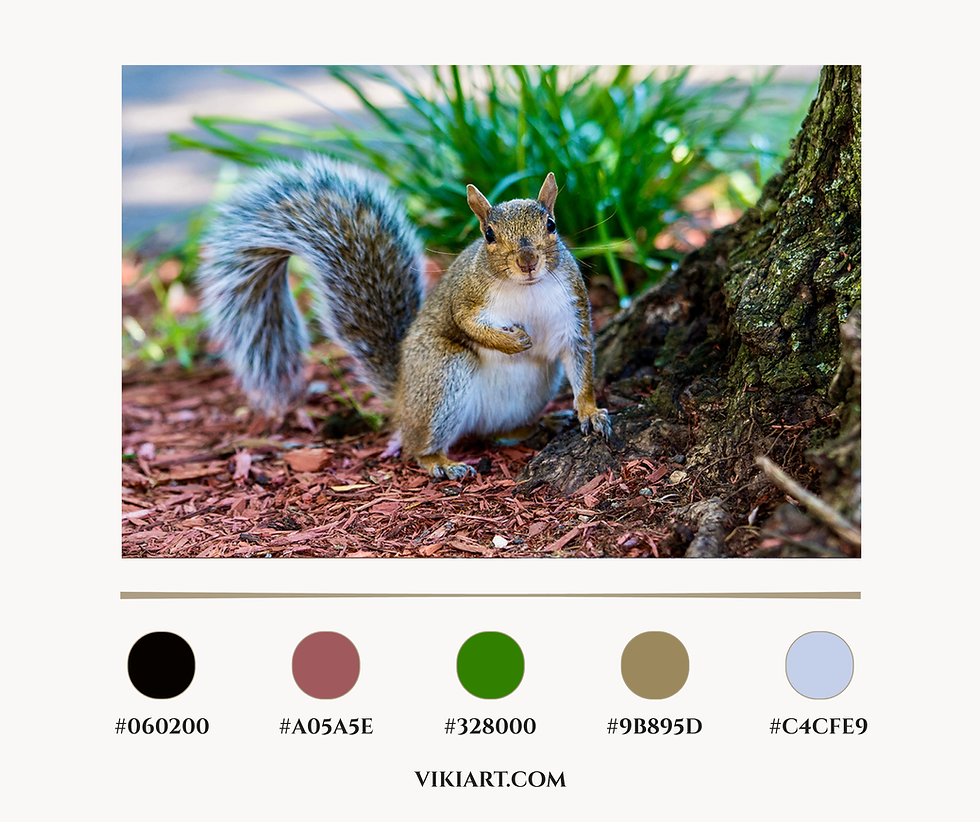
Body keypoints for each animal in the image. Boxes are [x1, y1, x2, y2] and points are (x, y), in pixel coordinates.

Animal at [198, 155, 611, 479]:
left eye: (551, 225)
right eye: (489, 234)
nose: (527, 261)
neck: (526, 289)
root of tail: (402, 397)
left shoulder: (573, 310)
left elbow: (582, 362)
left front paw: (590, 412)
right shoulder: (466, 297)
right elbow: (465, 323)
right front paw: (511, 341)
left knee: (495, 432)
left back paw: (541, 422)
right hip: (442, 371)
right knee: (418, 446)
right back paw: (440, 461)